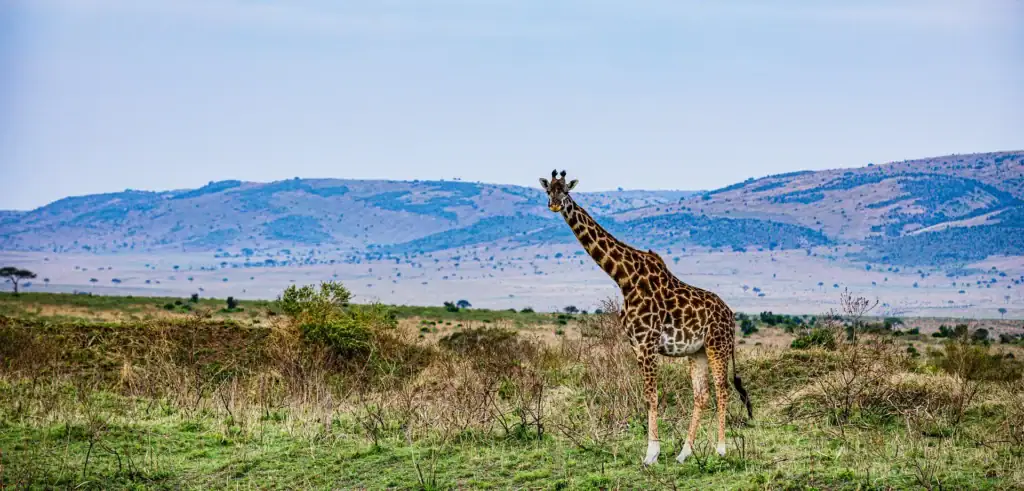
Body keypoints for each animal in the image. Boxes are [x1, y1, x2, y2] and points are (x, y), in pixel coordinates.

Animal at [539, 170, 753, 466]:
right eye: (548, 190)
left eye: (566, 191)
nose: (555, 205)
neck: (624, 277)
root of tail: (731, 316)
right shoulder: (636, 345)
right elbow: (648, 395)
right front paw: (656, 451)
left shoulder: (647, 343)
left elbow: (652, 395)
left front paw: (651, 453)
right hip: (696, 351)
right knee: (701, 395)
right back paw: (684, 453)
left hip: (717, 346)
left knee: (722, 390)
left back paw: (721, 449)